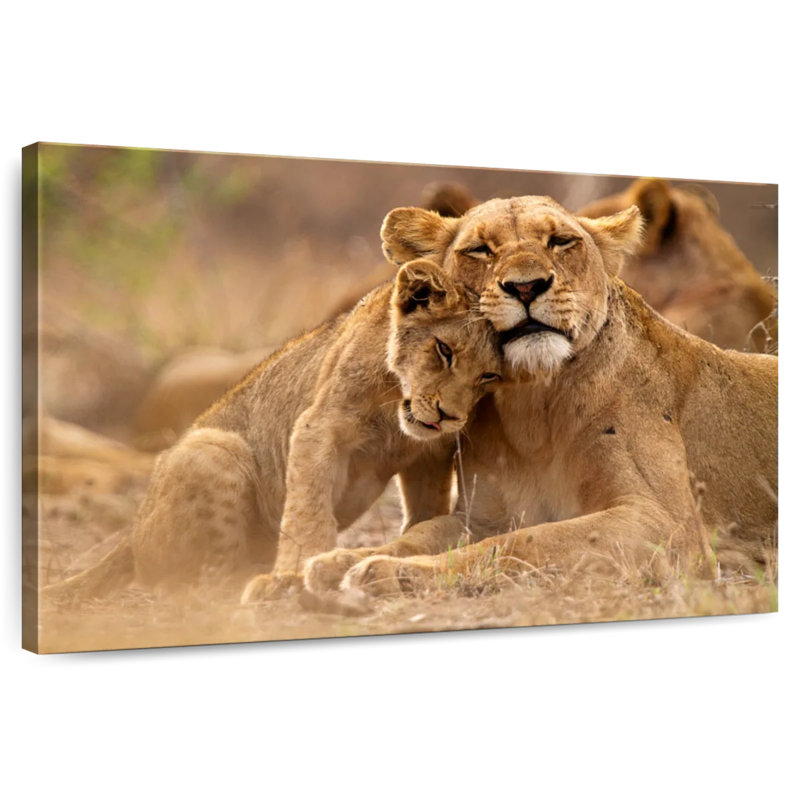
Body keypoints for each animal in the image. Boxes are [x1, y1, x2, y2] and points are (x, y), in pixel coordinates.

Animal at [43, 259, 502, 602]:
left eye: (489, 376)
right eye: (444, 350)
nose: (448, 416)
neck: (395, 407)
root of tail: (132, 532)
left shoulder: (430, 453)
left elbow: (426, 510)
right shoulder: (319, 427)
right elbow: (308, 512)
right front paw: (296, 574)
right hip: (214, 448)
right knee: (199, 583)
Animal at [302, 196, 777, 598]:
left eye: (561, 241)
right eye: (479, 250)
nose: (527, 286)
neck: (534, 407)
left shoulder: (669, 525)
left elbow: (526, 541)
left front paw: (390, 572)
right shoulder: (482, 517)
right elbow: (422, 533)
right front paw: (339, 560)